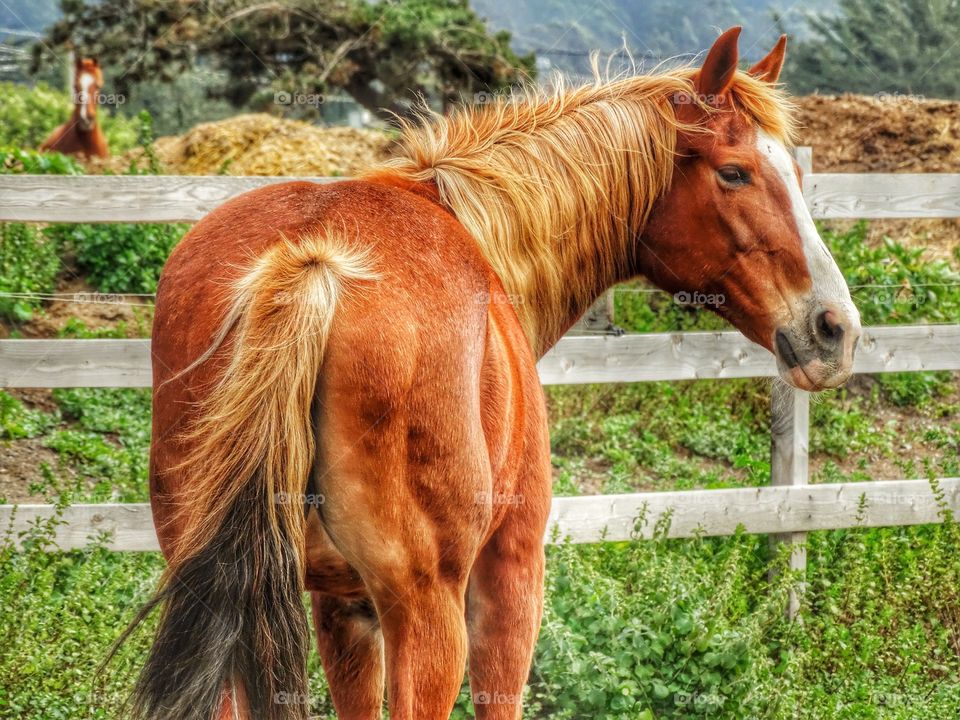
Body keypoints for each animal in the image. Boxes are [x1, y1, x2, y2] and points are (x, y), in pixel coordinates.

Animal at [129, 26, 864, 720]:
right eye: (734, 173)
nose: (836, 328)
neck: (482, 233)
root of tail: (313, 261)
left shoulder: (342, 607)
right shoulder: (511, 573)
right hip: (430, 619)